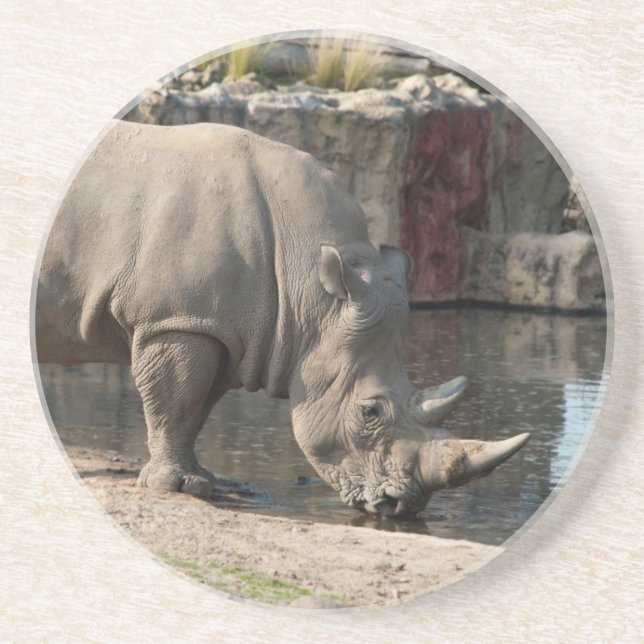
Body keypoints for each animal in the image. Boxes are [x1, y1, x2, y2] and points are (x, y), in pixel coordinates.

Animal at [35, 121, 529, 517]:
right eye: (369, 412)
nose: (399, 506)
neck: (311, 289)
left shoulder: (226, 330)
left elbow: (195, 407)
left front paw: (200, 480)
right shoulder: (177, 320)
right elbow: (175, 400)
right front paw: (175, 488)